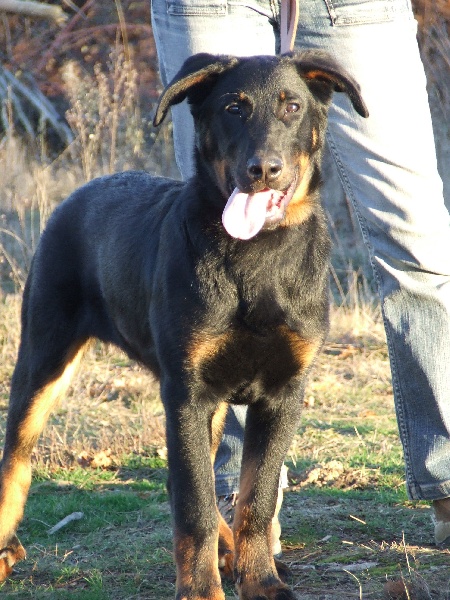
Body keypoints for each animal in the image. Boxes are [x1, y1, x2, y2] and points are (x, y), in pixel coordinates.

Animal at [0, 52, 366, 600]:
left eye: (293, 107)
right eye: (233, 108)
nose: (263, 170)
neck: (257, 256)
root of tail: (81, 192)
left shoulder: (282, 393)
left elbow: (254, 500)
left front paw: (261, 580)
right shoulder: (188, 392)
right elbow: (195, 507)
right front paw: (200, 591)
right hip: (45, 356)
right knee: (16, 459)